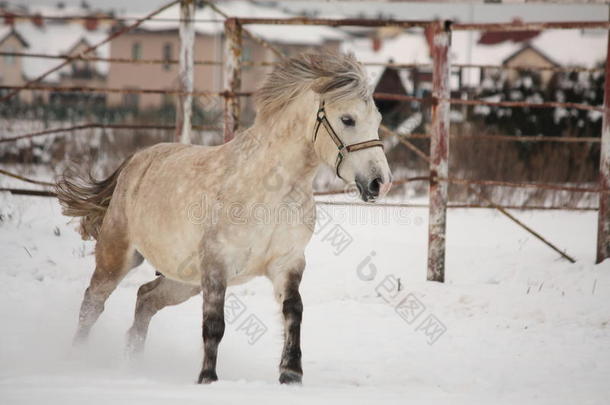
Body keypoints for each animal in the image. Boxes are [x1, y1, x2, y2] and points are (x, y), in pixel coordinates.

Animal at [55, 52, 390, 384]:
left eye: (377, 121)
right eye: (347, 119)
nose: (380, 183)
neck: (272, 189)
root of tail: (136, 160)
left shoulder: (287, 261)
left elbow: (293, 311)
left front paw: (291, 374)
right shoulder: (217, 263)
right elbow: (214, 324)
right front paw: (208, 377)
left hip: (183, 279)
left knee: (145, 299)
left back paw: (133, 364)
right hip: (118, 256)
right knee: (93, 303)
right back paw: (77, 358)